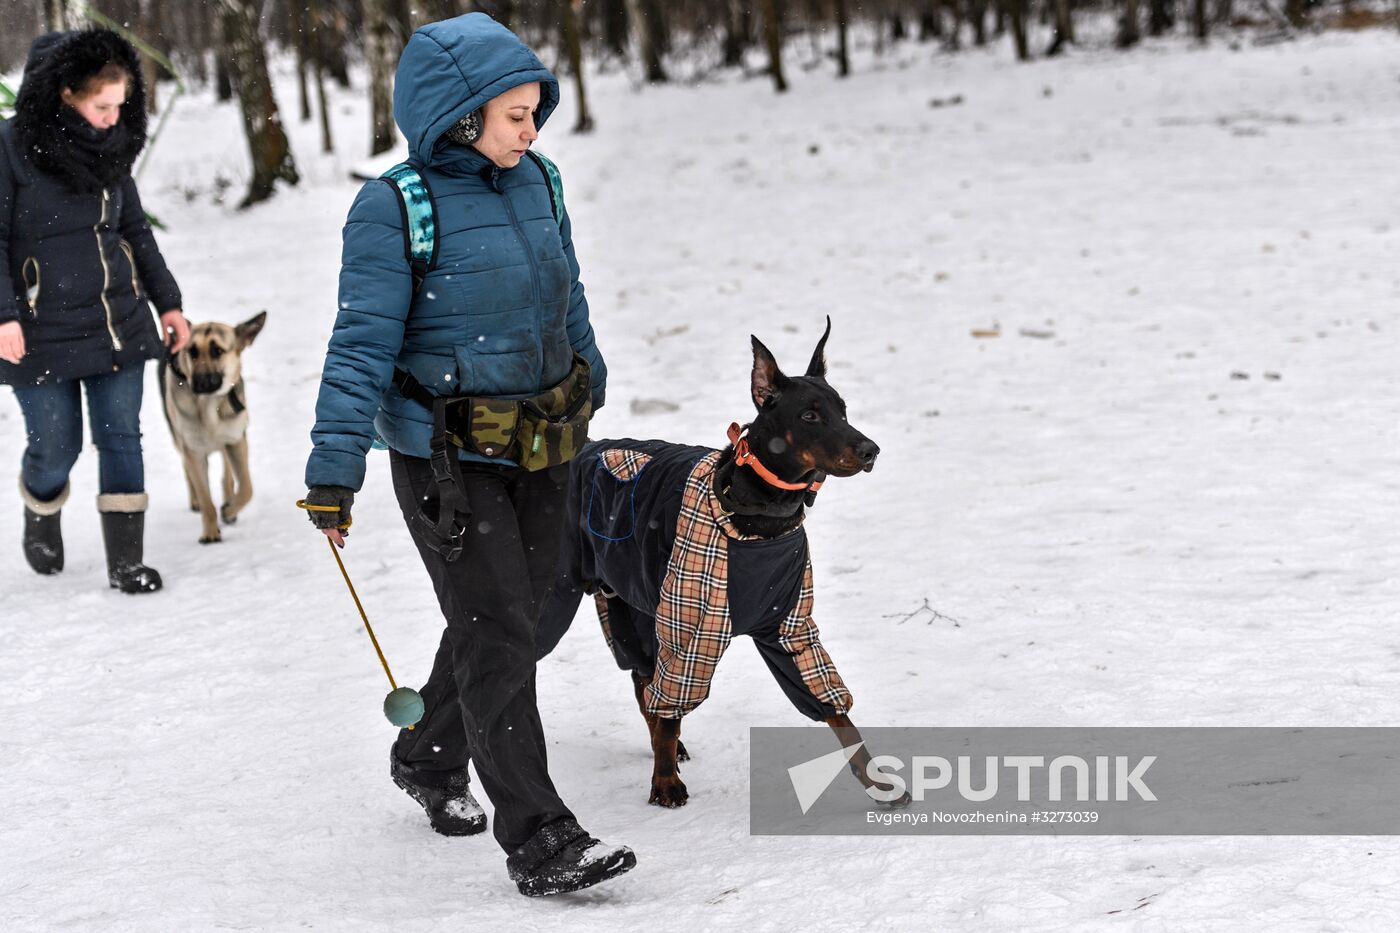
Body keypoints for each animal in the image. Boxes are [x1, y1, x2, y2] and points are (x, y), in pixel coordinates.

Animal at [160, 312, 266, 540]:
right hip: (179, 440)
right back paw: (196, 502)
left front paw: (229, 510)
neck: (209, 405)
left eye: (217, 351)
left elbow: (247, 488)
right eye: (192, 351)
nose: (199, 383)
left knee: (227, 475)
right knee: (188, 471)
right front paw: (210, 533)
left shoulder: (236, 441)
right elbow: (205, 497)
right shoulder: (193, 451)